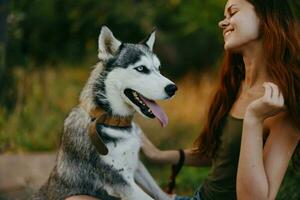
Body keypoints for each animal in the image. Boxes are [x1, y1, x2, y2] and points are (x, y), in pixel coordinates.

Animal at [32, 26, 178, 200]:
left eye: (159, 68)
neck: (111, 120)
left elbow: (158, 191)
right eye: (141, 68)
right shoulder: (120, 180)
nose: (173, 88)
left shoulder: (137, 166)